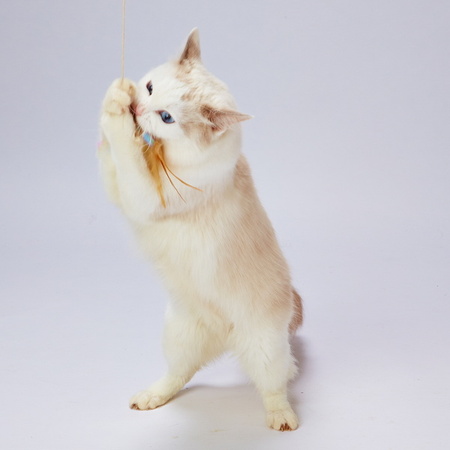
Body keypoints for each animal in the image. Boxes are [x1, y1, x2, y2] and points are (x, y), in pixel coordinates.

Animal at [98, 28, 303, 431]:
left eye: (167, 117)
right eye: (149, 88)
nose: (139, 109)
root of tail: (225, 339)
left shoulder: (145, 199)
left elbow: (126, 154)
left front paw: (116, 117)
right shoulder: (121, 193)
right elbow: (111, 158)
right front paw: (116, 97)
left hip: (265, 348)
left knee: (277, 380)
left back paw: (282, 417)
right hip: (177, 333)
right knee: (179, 373)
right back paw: (150, 398)